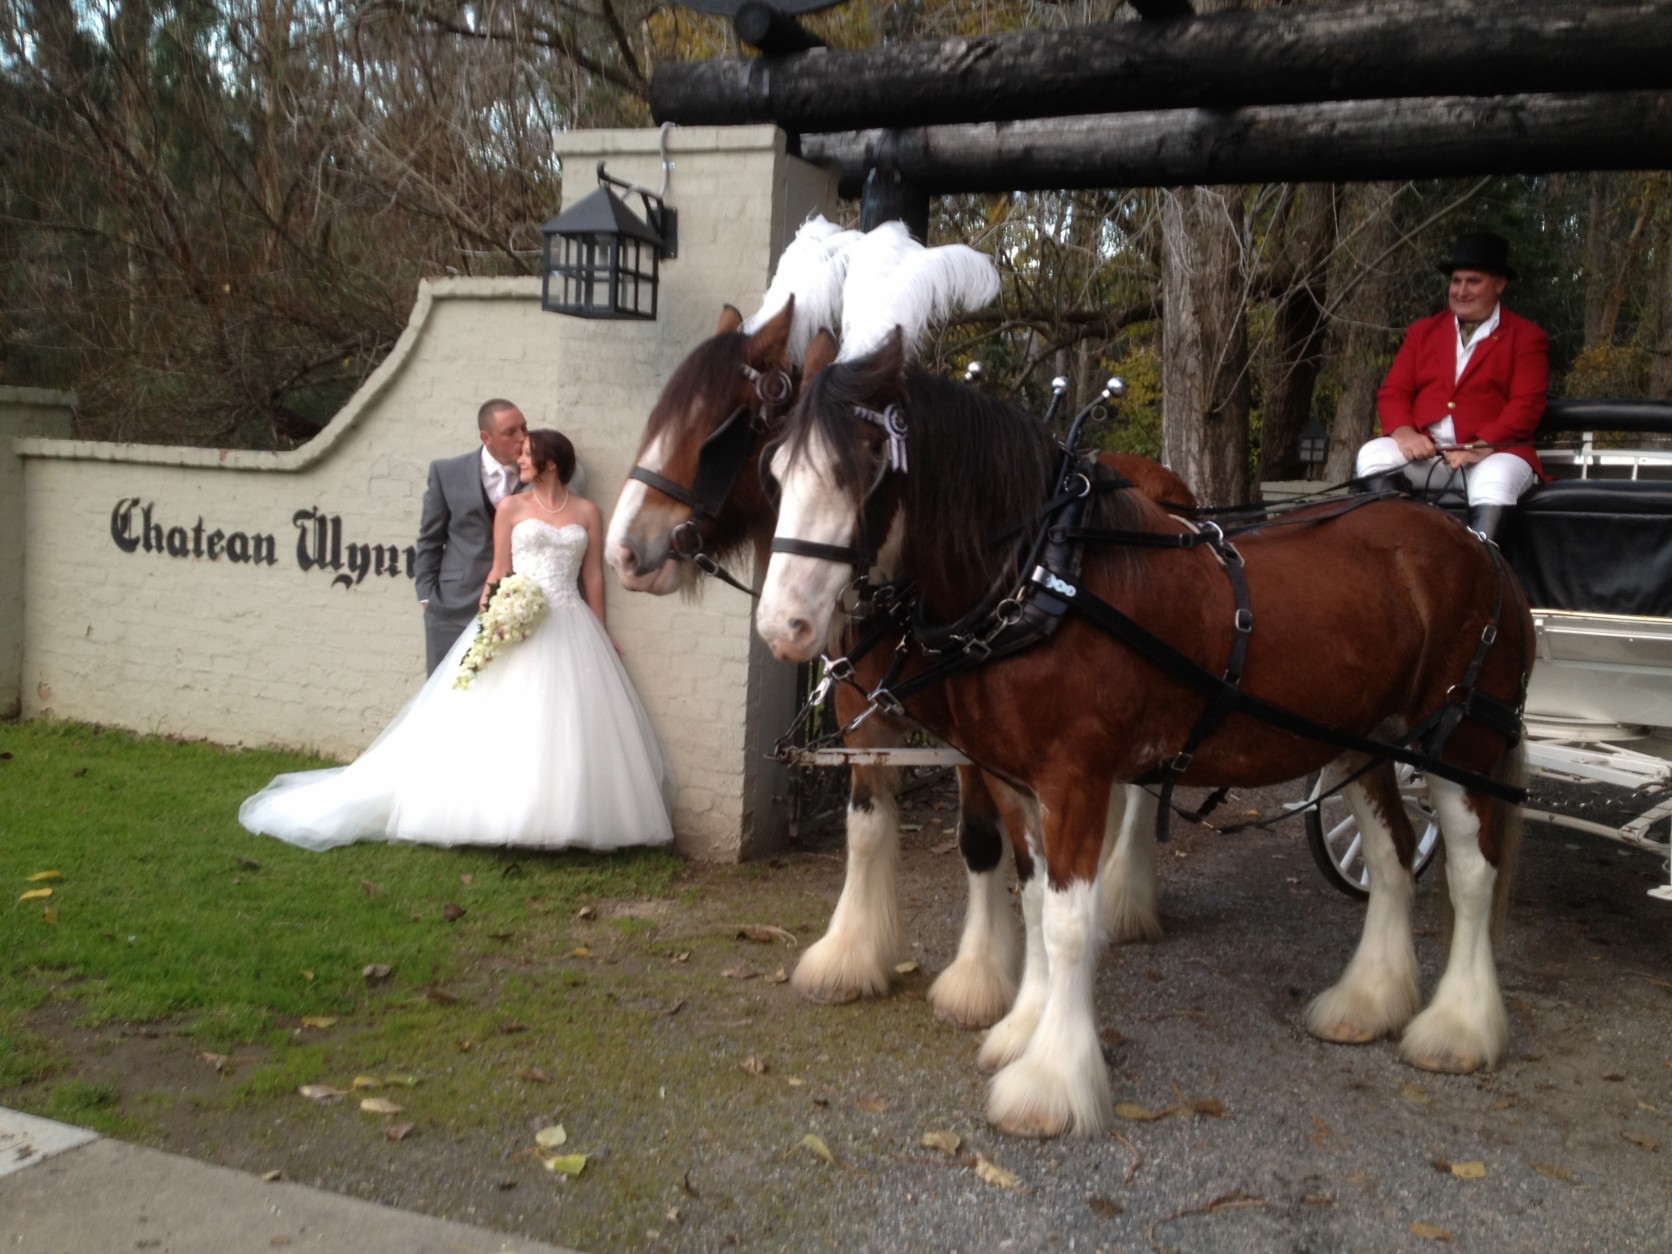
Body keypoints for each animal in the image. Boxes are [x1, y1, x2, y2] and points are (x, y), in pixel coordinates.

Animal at [755, 331, 1531, 1136]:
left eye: (859, 468)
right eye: (775, 469)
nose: (783, 626)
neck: (1046, 575)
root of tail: (1475, 544)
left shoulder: (1075, 779)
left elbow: (1067, 923)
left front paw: (1052, 1078)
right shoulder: (1010, 777)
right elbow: (1033, 901)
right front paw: (1021, 1029)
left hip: (1459, 745)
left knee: (1471, 871)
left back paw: (1458, 1026)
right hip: (1361, 738)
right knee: (1392, 855)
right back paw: (1368, 1001)